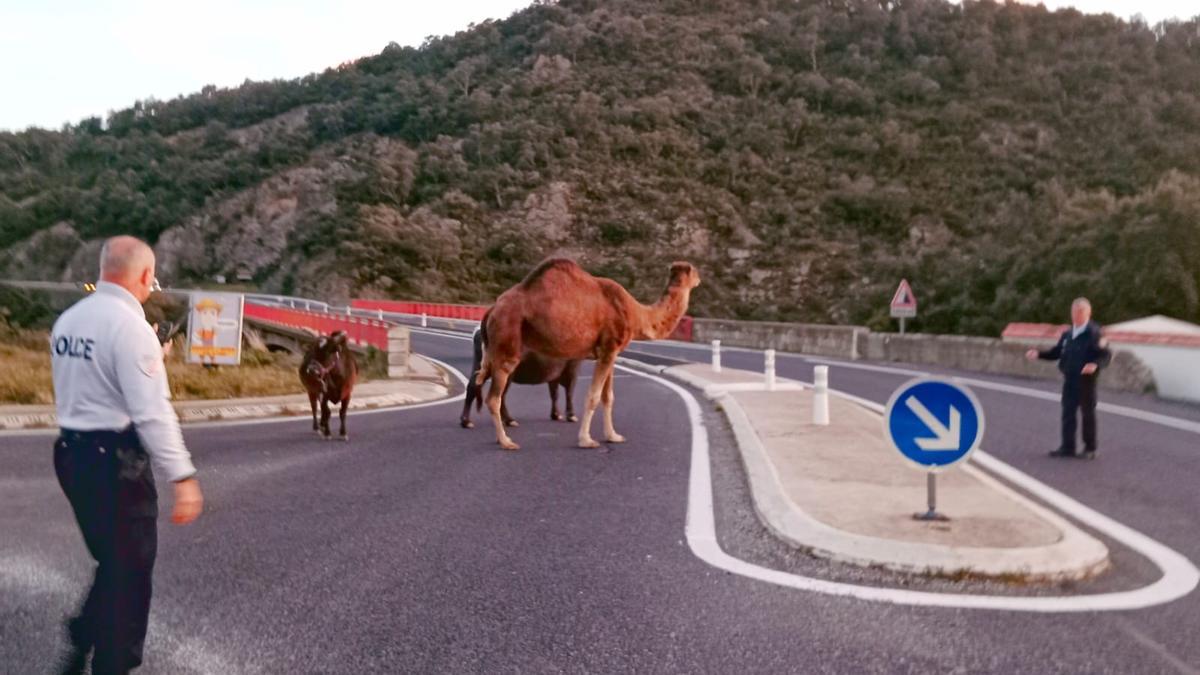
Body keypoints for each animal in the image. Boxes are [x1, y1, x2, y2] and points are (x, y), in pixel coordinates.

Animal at [472, 257, 700, 446]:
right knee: (494, 396)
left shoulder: (610, 353)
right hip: (507, 340)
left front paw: (613, 436)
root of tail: (491, 311)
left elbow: (608, 397)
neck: (635, 313)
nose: (699, 278)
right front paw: (586, 440)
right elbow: (593, 396)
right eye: (694, 271)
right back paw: (506, 442)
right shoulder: (608, 348)